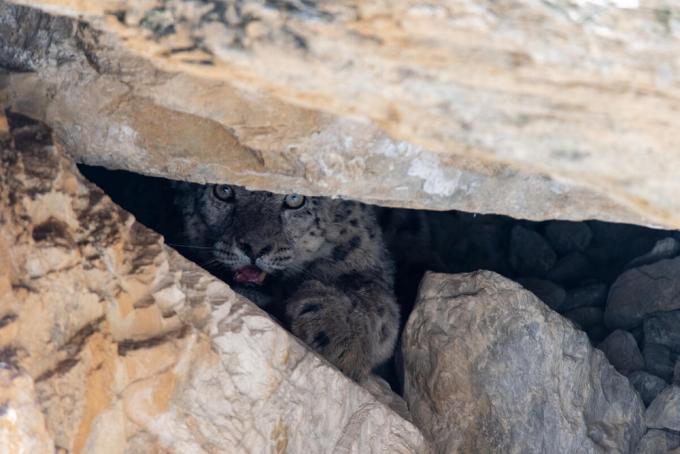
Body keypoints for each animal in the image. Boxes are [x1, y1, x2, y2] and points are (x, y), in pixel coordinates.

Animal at [173, 183, 402, 382]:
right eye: (224, 190)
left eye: (295, 198)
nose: (254, 248)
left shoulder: (367, 262)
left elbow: (379, 302)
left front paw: (339, 334)